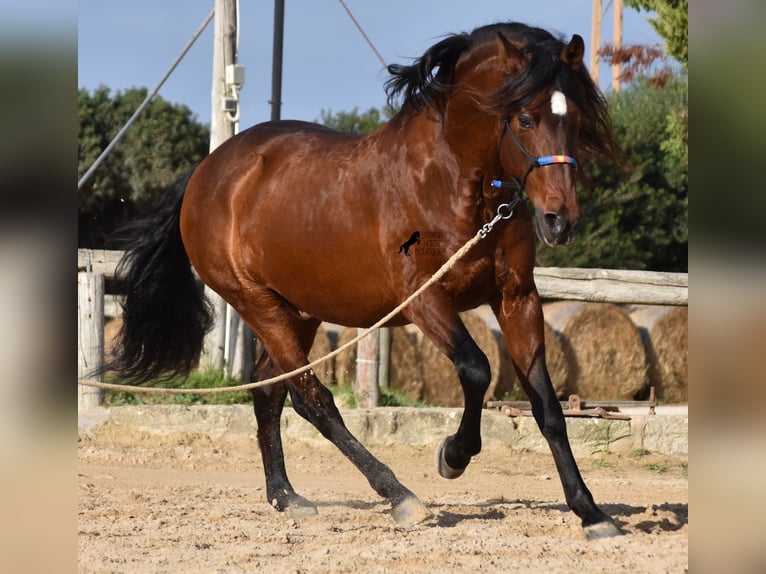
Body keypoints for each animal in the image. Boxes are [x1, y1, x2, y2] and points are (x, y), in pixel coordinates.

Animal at [112, 22, 624, 544]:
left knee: (268, 390)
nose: (561, 220)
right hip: (256, 303)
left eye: (575, 117)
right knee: (313, 399)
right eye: (524, 118)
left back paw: (287, 497)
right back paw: (399, 496)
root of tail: (206, 172)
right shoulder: (423, 299)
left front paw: (591, 512)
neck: (452, 185)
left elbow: (547, 406)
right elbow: (477, 369)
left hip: (299, 310)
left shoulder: (518, 298)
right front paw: (452, 456)